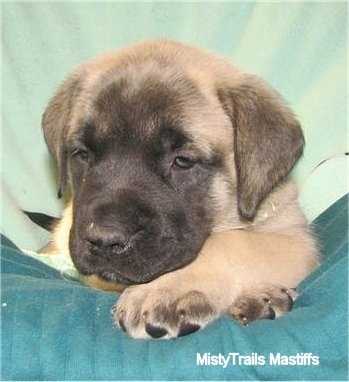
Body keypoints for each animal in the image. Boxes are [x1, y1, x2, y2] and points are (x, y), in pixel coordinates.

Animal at [40, 39, 318, 338]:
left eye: (182, 161)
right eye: (82, 154)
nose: (104, 240)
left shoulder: (295, 238)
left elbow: (233, 243)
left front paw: (165, 290)